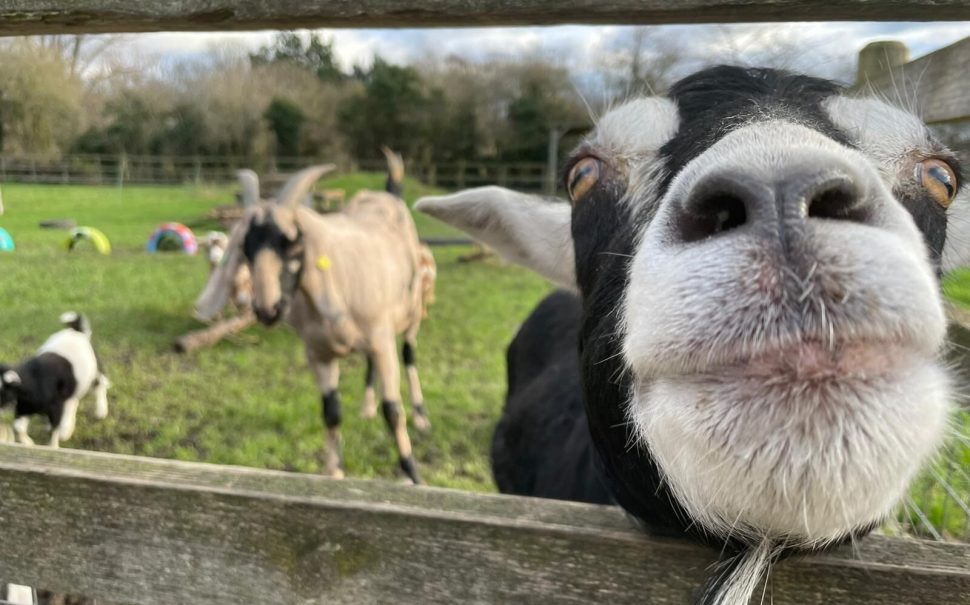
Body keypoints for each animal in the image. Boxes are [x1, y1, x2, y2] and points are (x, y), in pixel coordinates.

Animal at [0, 312, 110, 448]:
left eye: (3, 394)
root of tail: (77, 331)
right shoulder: (24, 408)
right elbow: (18, 427)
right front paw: (29, 444)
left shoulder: (54, 407)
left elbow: (54, 430)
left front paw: (53, 447)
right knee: (73, 401)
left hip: (94, 370)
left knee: (100, 384)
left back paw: (100, 411)